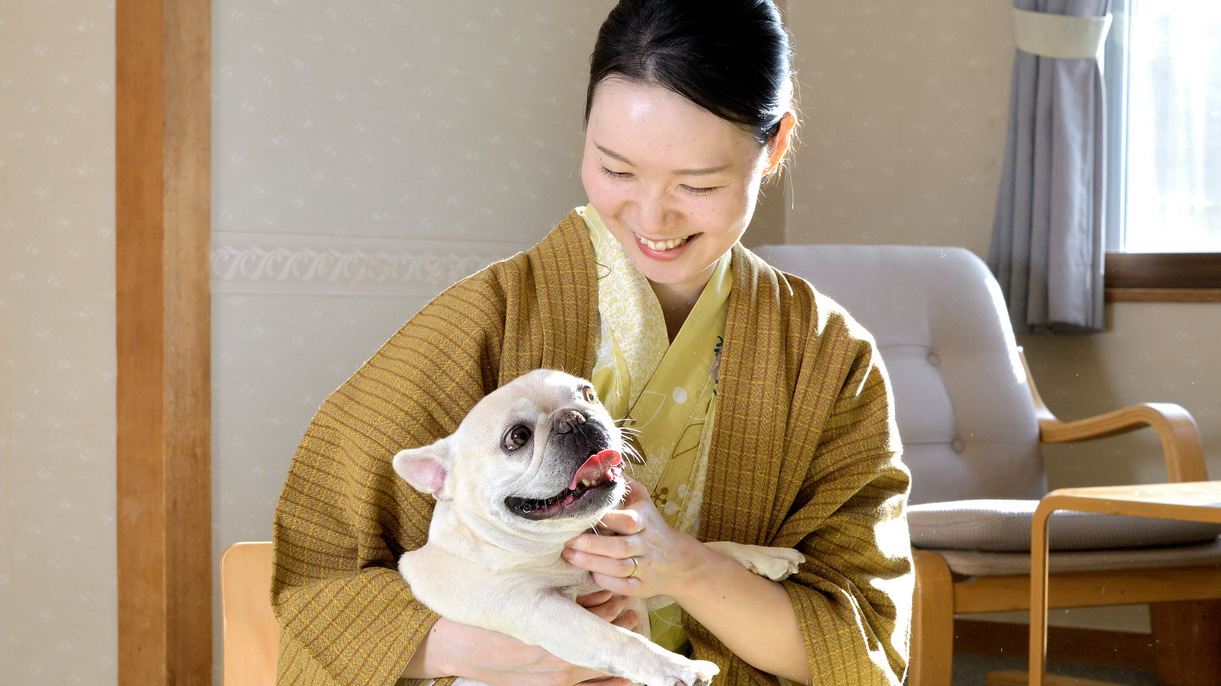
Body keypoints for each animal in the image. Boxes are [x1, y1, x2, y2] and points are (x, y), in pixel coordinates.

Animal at [395, 368, 805, 683]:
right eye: (517, 437)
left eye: (589, 395)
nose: (573, 418)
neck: (559, 545)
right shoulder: (535, 609)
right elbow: (615, 638)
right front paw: (678, 667)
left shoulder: (641, 587)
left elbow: (709, 550)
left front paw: (765, 556)